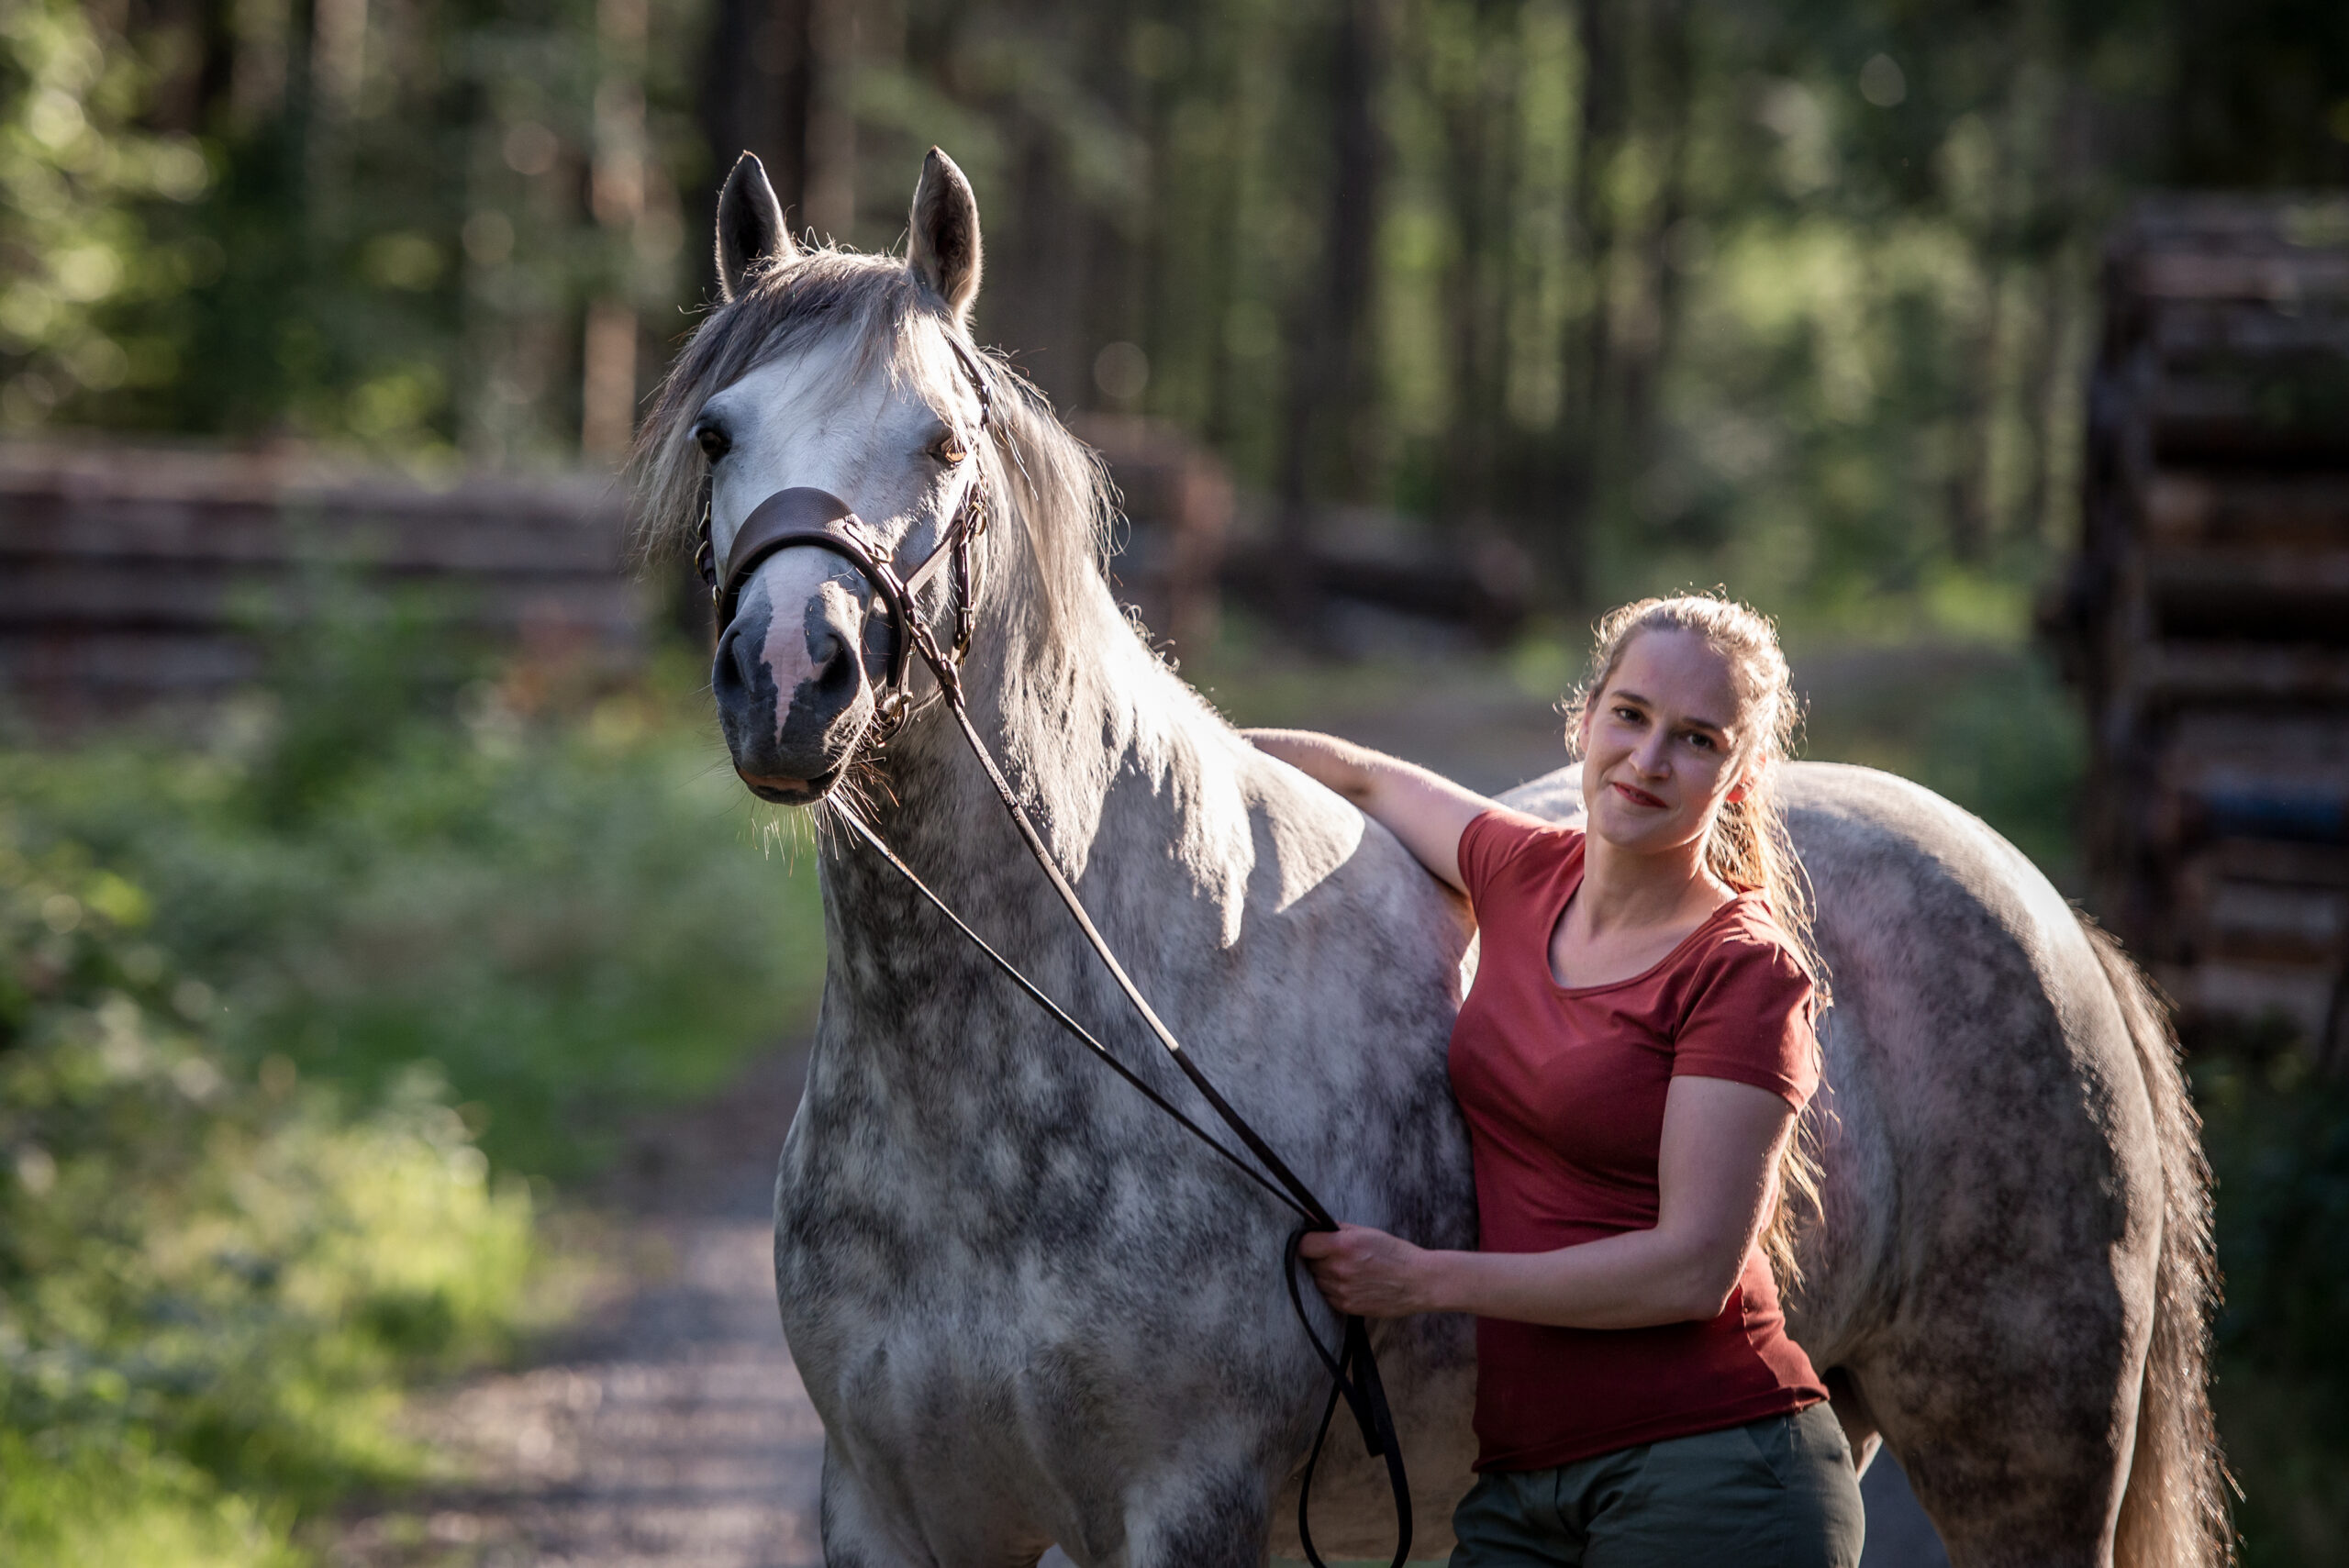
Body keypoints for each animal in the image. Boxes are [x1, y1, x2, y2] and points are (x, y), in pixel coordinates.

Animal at [634, 146, 2226, 1568]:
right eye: (719, 432)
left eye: (942, 443)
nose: (791, 679)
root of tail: (2043, 908)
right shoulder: (890, 1512)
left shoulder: (1183, 1511)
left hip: (2025, 1462)